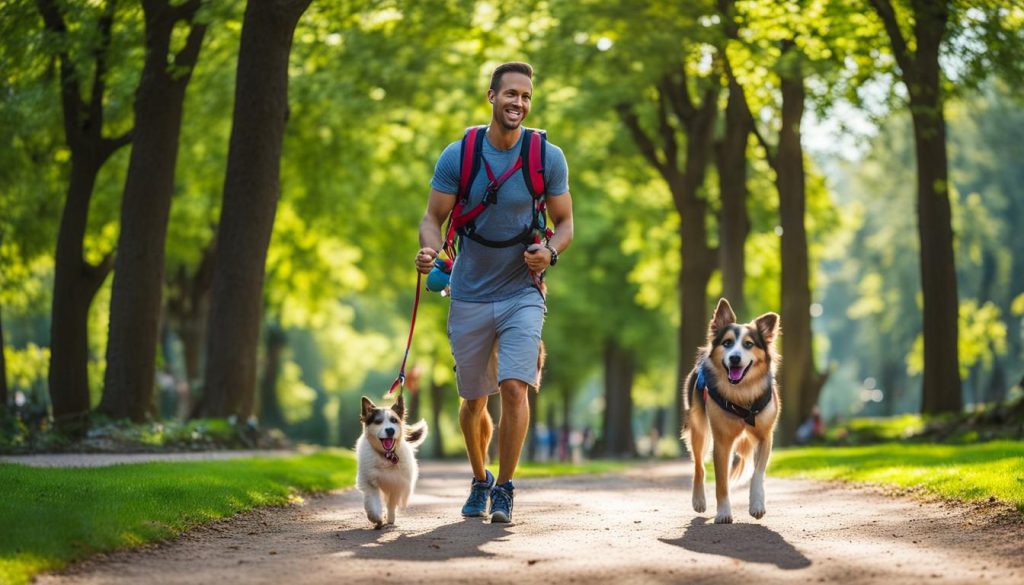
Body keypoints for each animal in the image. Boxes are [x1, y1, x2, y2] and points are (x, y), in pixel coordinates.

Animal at [356, 395, 428, 528]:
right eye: (378, 421)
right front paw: (376, 517)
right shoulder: (369, 481)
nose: (390, 430)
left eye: (394, 420)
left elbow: (391, 503)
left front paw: (390, 517)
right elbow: (372, 500)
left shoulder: (397, 483)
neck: (386, 456)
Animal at [684, 299, 778, 524]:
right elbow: (721, 482)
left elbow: (757, 473)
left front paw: (757, 506)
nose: (735, 358)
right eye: (727, 343)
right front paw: (724, 513)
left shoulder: (765, 436)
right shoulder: (721, 441)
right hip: (699, 428)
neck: (742, 392)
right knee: (699, 465)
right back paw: (699, 500)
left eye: (749, 344)